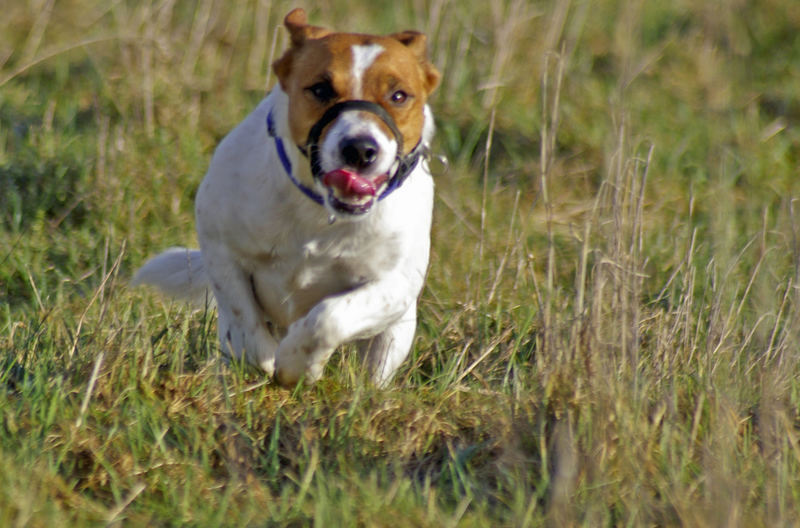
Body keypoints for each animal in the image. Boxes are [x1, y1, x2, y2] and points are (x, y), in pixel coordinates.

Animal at [134, 8, 440, 388]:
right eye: (320, 89)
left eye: (399, 96)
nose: (359, 149)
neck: (317, 210)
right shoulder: (220, 245)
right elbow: (241, 314)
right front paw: (260, 360)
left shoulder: (394, 285)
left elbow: (329, 317)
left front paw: (298, 364)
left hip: (394, 334)